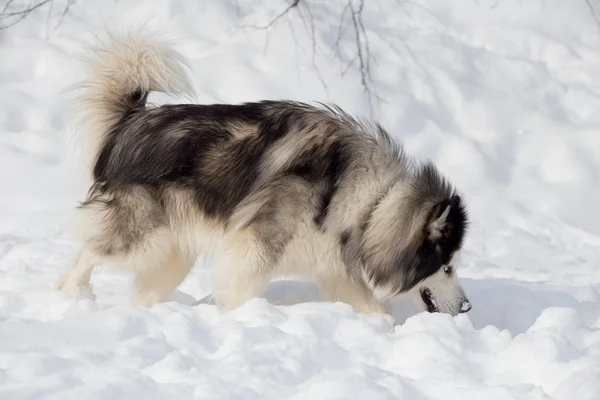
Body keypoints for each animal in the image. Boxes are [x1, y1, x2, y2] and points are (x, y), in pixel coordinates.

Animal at [56, 28, 472, 316]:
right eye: (447, 267)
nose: (467, 307)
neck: (372, 204)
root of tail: (131, 122)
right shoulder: (254, 249)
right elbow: (240, 291)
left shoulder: (334, 268)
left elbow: (375, 310)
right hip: (143, 237)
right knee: (85, 254)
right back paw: (72, 295)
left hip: (172, 254)